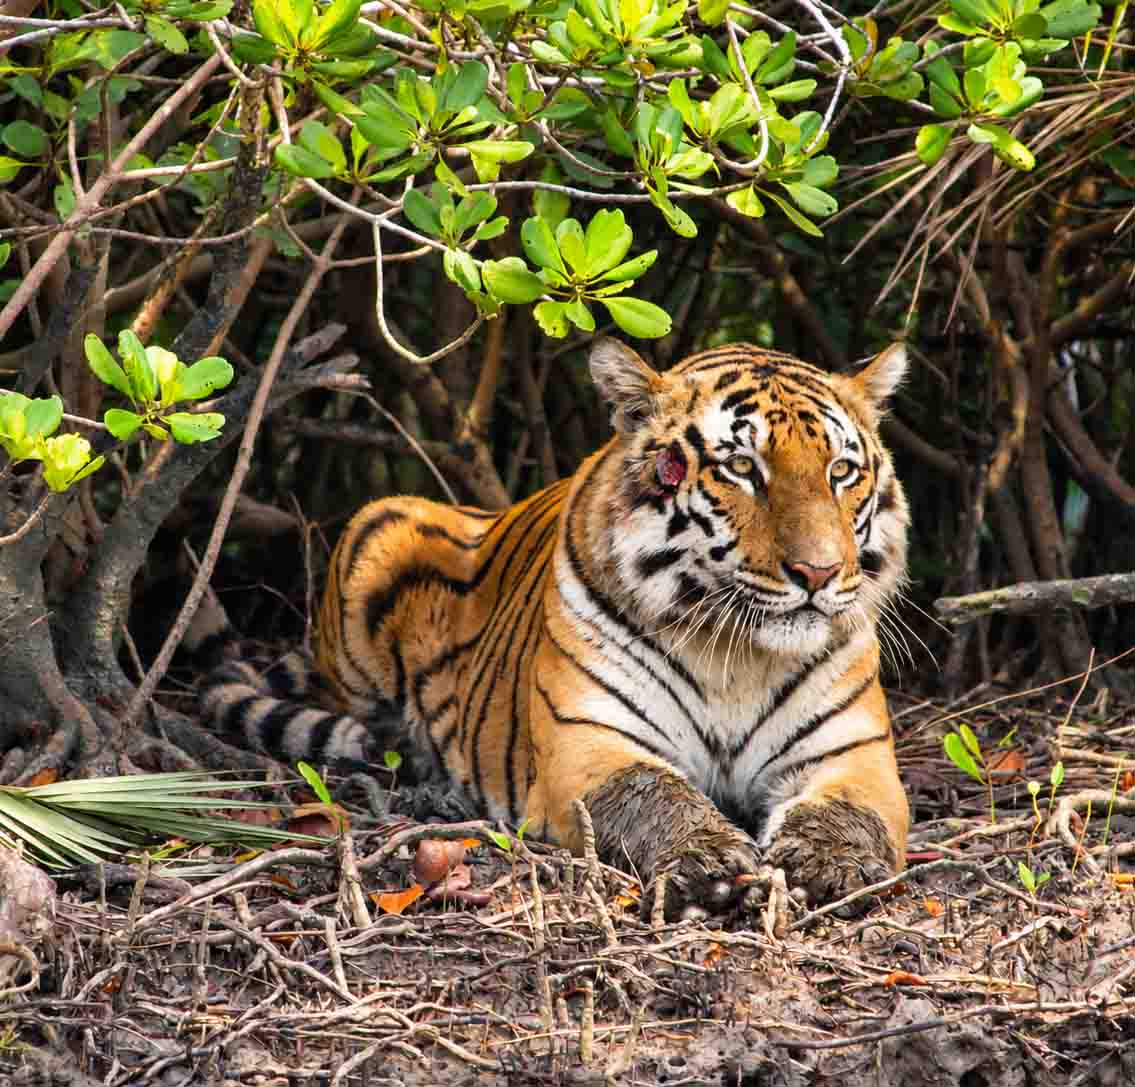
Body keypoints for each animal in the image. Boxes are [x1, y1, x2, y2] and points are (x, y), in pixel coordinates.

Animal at [197, 336, 912, 918]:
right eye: (741, 468)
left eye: (842, 471)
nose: (819, 572)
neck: (734, 655)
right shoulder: (587, 744)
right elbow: (651, 792)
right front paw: (708, 862)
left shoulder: (856, 753)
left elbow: (849, 811)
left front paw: (829, 866)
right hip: (378, 525)